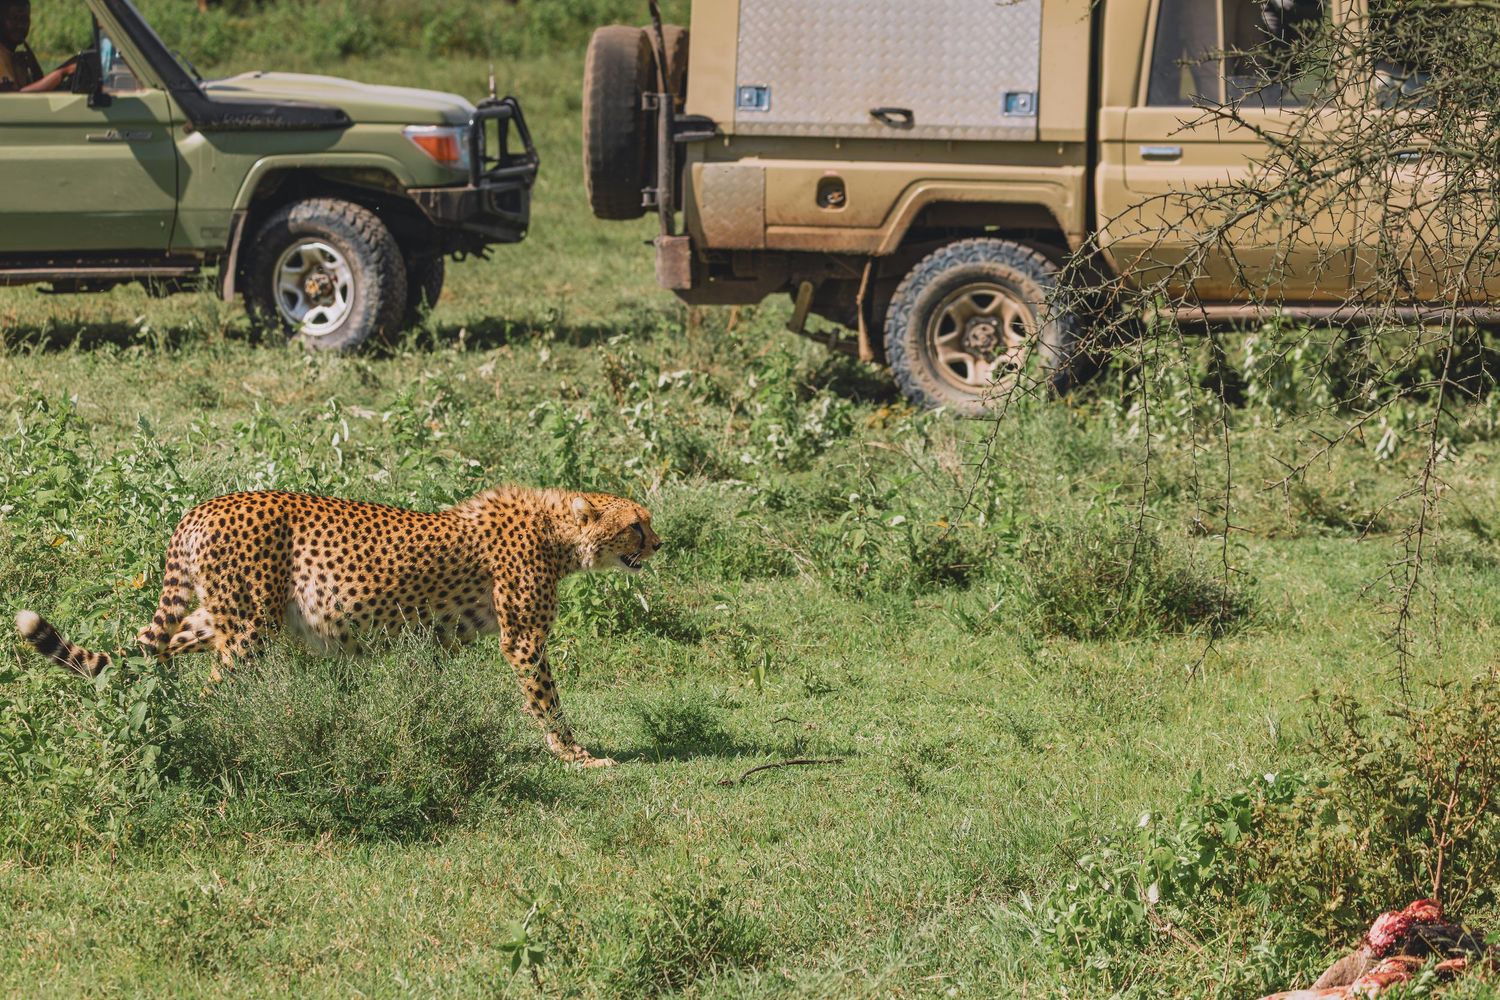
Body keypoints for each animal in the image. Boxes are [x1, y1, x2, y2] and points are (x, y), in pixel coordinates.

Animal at [15, 486, 662, 768]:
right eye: (637, 524)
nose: (659, 544)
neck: (558, 531)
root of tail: (202, 507)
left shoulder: (444, 637)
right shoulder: (523, 638)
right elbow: (547, 699)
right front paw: (575, 754)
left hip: (227, 615)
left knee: (164, 647)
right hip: (249, 629)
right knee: (213, 689)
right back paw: (210, 741)